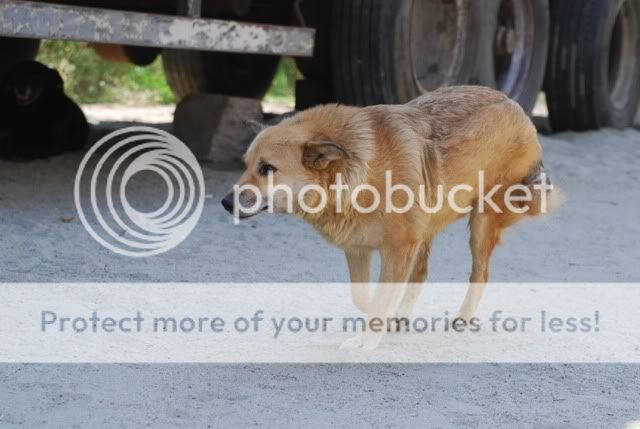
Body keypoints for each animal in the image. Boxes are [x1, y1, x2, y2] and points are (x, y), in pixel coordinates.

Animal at [222, 85, 564, 350]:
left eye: (267, 169)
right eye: (247, 165)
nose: (225, 203)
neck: (357, 172)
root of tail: (512, 103)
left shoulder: (398, 249)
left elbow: (380, 299)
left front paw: (368, 342)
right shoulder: (359, 249)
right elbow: (365, 297)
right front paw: (378, 321)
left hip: (481, 223)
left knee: (480, 275)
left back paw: (462, 317)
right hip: (426, 229)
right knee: (421, 273)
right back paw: (403, 315)